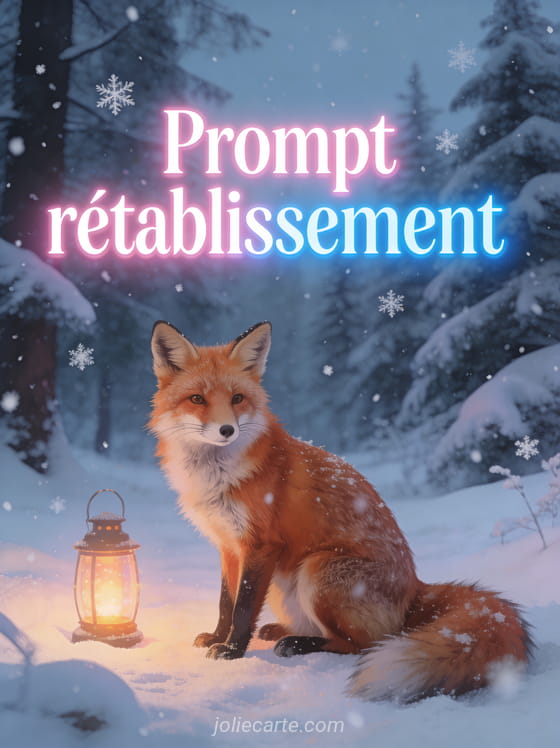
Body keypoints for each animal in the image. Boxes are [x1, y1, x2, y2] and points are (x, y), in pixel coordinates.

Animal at [149, 320, 532, 702]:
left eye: (237, 399)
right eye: (197, 399)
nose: (226, 429)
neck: (219, 475)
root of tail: (415, 590)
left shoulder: (260, 544)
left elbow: (243, 607)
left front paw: (232, 651)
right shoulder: (229, 545)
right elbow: (226, 601)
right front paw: (217, 637)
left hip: (318, 571)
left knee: (363, 643)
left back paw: (297, 643)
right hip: (287, 587)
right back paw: (280, 630)